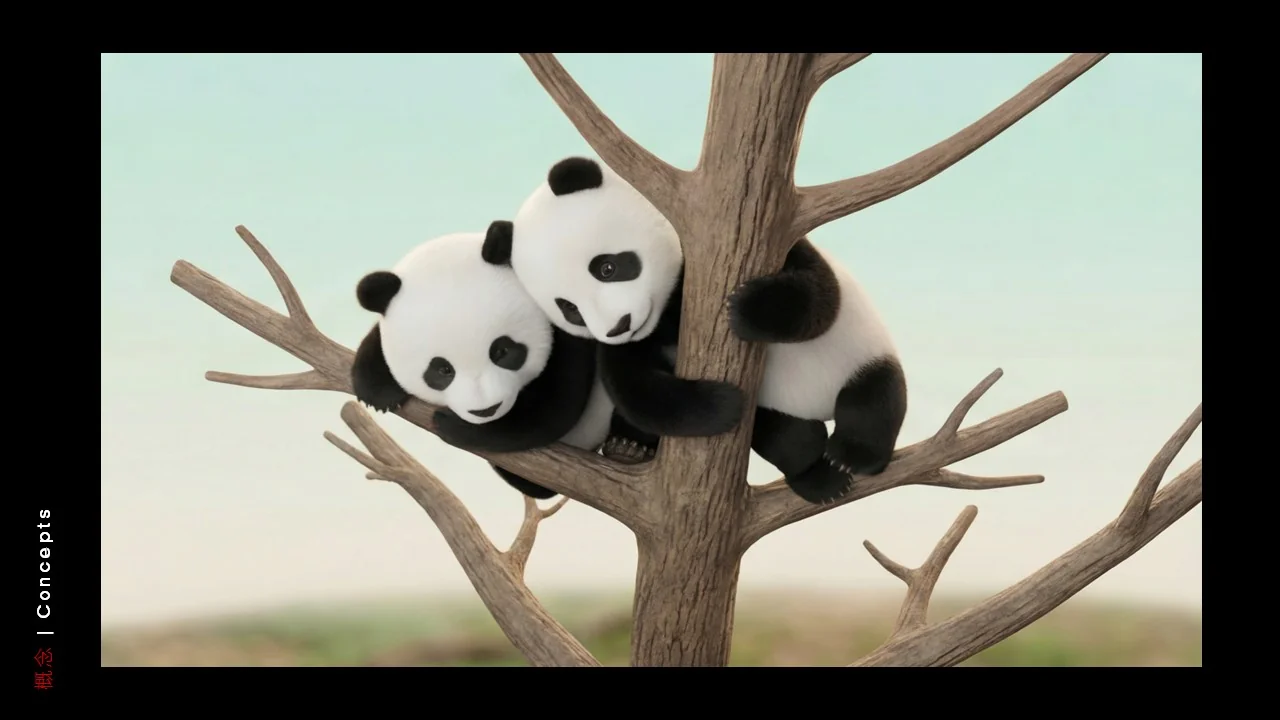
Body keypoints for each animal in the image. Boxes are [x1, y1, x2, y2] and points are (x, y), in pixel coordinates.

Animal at [350, 229, 617, 500]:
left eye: (502, 351)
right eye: (442, 370)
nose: (485, 410)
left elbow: (553, 406)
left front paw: (452, 425)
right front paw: (379, 390)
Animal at [482, 156, 908, 505]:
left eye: (606, 267)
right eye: (569, 309)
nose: (620, 326)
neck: (669, 306)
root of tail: (817, 405)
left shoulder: (766, 247)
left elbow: (818, 295)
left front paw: (744, 309)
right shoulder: (630, 341)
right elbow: (635, 385)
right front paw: (722, 403)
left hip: (861, 355)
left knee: (873, 401)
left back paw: (849, 457)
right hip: (774, 410)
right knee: (779, 434)